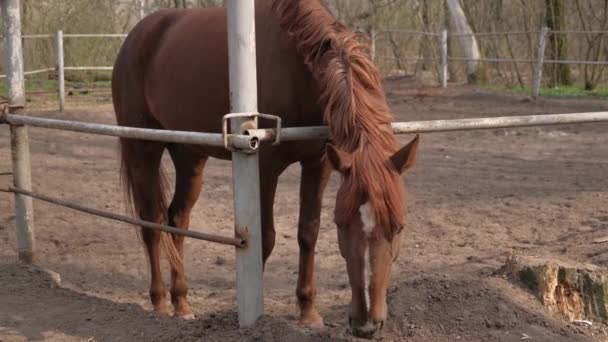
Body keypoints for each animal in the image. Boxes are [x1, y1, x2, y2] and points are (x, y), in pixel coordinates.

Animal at [111, 0, 418, 336]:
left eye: (399, 226)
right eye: (341, 225)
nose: (366, 324)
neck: (299, 65)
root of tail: (135, 36)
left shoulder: (320, 163)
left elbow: (308, 231)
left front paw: (308, 313)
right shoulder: (266, 167)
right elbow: (265, 238)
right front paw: (251, 316)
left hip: (190, 156)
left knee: (176, 219)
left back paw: (182, 304)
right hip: (143, 148)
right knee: (150, 224)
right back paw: (160, 303)